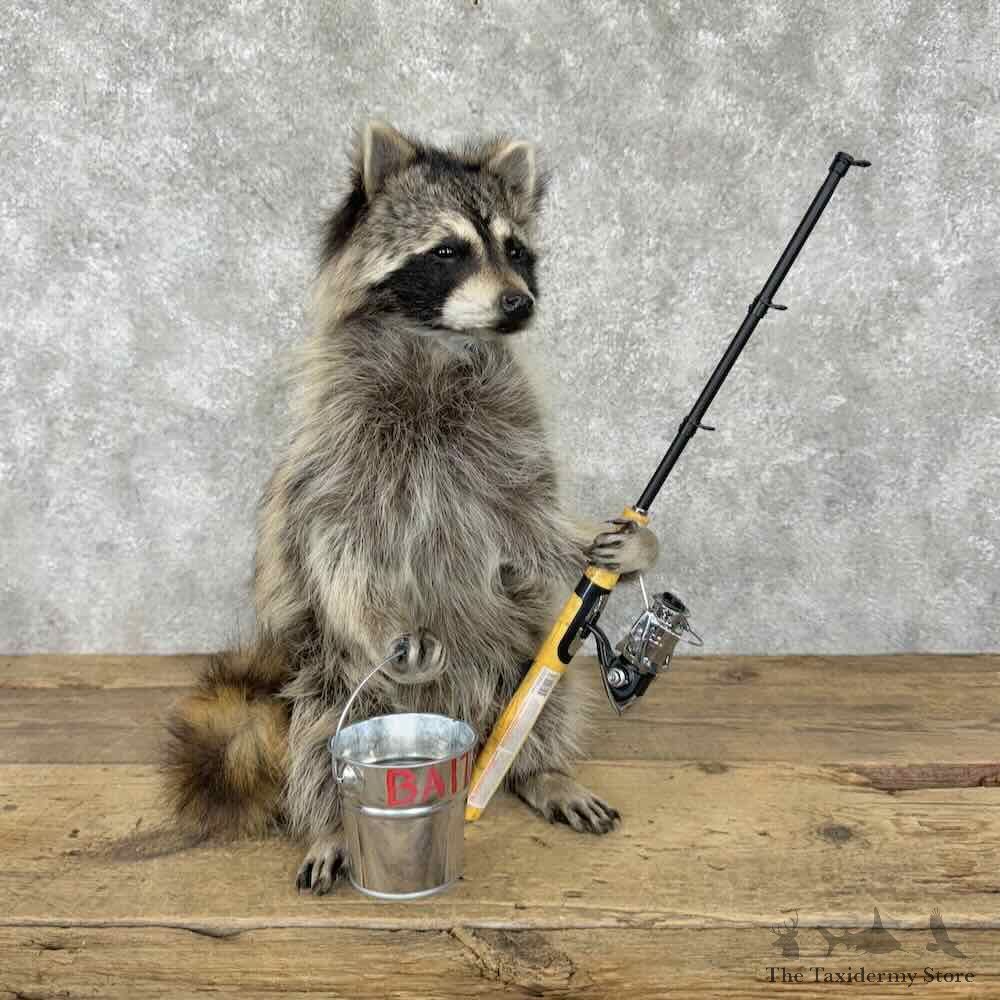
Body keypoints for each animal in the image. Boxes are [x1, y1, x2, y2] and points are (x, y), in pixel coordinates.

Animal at [163, 122, 659, 894]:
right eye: (448, 251)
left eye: (516, 250)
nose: (520, 303)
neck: (440, 343)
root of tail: (455, 709)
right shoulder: (340, 443)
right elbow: (335, 537)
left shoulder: (507, 435)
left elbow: (527, 519)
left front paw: (610, 545)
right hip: (326, 666)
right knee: (319, 729)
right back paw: (329, 821)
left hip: (513, 639)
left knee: (545, 679)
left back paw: (540, 768)